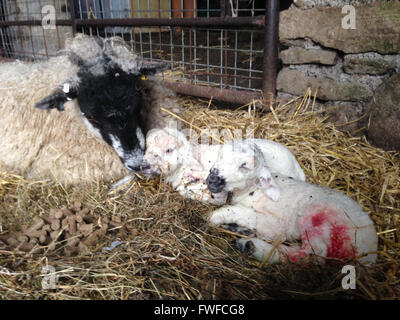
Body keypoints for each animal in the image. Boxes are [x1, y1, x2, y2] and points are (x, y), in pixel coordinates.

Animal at [206, 142, 378, 264]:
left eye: (244, 166)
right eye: (220, 156)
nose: (212, 179)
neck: (253, 189)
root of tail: (369, 249)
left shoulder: (273, 225)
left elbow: (240, 212)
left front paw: (215, 217)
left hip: (319, 220)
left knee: (310, 255)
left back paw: (252, 246)